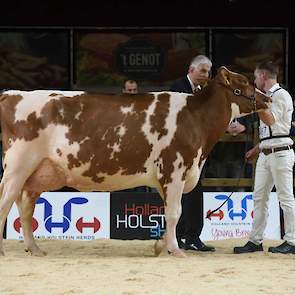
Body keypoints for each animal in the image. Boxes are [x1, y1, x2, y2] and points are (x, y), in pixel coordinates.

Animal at [0, 67, 272, 256]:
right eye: (244, 82)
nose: (268, 98)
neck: (195, 117)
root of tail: (13, 94)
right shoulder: (174, 170)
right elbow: (175, 212)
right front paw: (175, 250)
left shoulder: (172, 176)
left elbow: (169, 214)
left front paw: (161, 245)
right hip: (18, 166)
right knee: (6, 202)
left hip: (37, 174)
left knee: (25, 209)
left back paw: (35, 249)